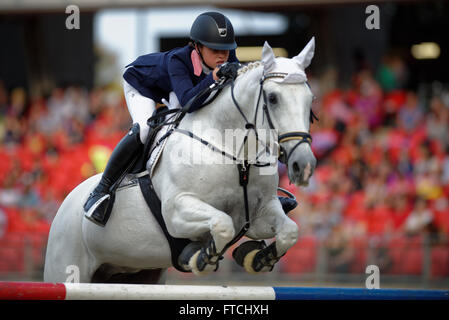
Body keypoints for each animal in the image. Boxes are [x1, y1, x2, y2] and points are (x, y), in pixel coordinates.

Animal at [42, 38, 316, 284]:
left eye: (310, 99)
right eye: (273, 98)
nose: (303, 165)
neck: (237, 155)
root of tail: (65, 204)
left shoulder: (260, 213)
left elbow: (290, 232)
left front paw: (256, 258)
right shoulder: (177, 210)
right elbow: (222, 223)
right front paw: (201, 257)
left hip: (139, 274)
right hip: (68, 266)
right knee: (138, 130)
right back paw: (97, 200)